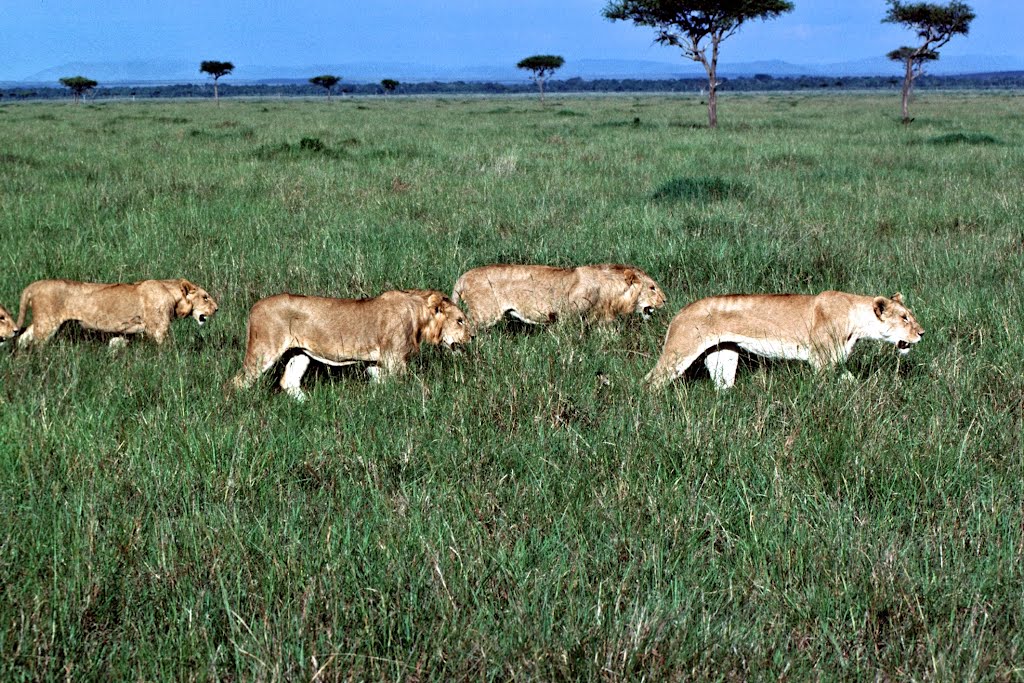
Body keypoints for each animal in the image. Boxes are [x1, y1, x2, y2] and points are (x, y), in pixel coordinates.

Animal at [14, 278, 219, 348]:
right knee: (37, 344)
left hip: (44, 322)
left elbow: (116, 344)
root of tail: (34, 286)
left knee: (24, 336)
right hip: (48, 323)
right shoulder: (159, 329)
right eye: (205, 297)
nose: (217, 308)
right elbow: (166, 348)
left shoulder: (127, 331)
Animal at [233, 288, 471, 401]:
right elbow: (412, 385)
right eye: (460, 320)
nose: (473, 337)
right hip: (264, 349)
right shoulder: (395, 360)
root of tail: (253, 307)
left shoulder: (380, 362)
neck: (419, 316)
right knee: (238, 382)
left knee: (288, 381)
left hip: (300, 353)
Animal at [647, 290, 929, 393]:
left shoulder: (836, 361)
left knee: (723, 385)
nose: (922, 333)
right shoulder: (821, 360)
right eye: (904, 317)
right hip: (680, 351)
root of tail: (681, 310)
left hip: (723, 355)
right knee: (651, 380)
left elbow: (850, 381)